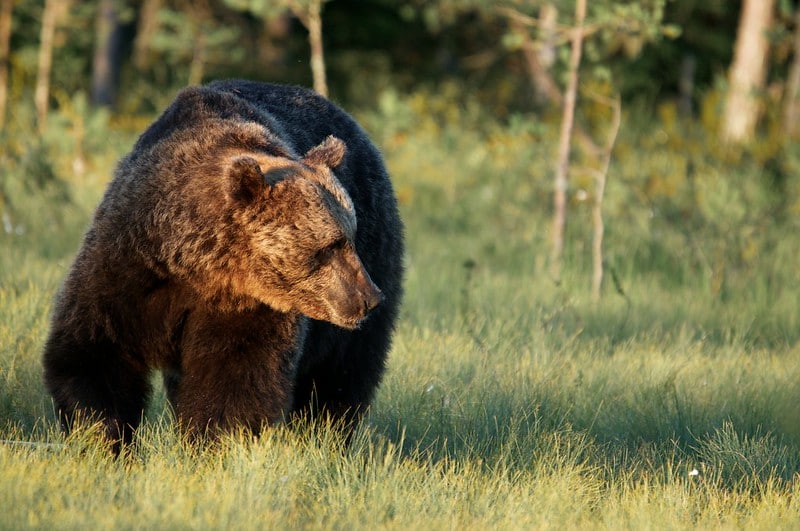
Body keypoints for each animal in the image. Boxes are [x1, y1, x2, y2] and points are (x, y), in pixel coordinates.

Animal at [43, 81, 404, 450]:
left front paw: (216, 440)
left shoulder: (245, 303)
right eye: (330, 245)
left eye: (348, 237)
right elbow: (95, 350)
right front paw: (99, 433)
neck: (191, 261)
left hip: (377, 246)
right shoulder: (127, 266)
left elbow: (234, 374)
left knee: (341, 372)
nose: (368, 297)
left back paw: (325, 434)